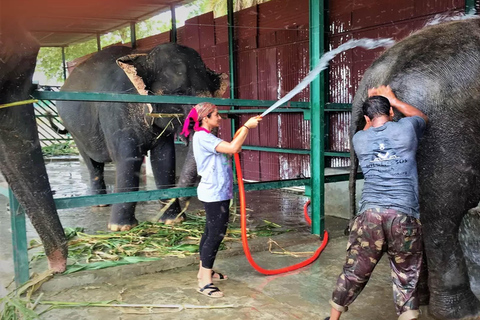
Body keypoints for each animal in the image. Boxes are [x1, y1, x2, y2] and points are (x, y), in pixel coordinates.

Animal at [54, 43, 229, 231]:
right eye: (179, 93)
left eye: (212, 95)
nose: (184, 199)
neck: (144, 57)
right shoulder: (116, 112)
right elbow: (129, 158)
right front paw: (120, 228)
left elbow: (164, 158)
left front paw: (173, 221)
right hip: (75, 131)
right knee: (92, 163)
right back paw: (100, 204)